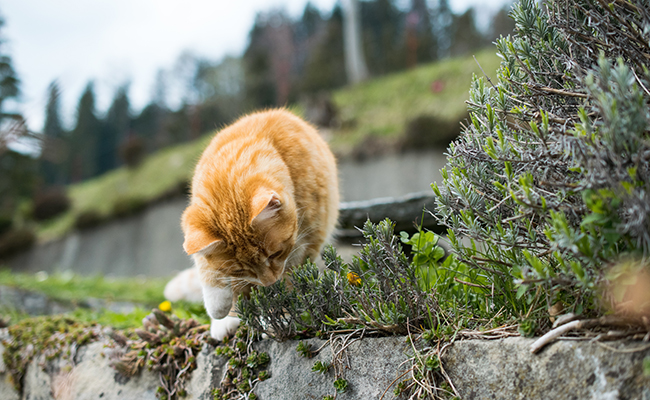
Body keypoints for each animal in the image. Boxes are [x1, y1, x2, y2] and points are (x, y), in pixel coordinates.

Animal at [175, 108, 336, 340]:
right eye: (240, 270)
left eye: (276, 254)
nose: (269, 281)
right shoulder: (192, 221)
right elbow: (207, 267)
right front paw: (219, 307)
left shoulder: (307, 244)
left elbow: (289, 284)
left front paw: (282, 317)